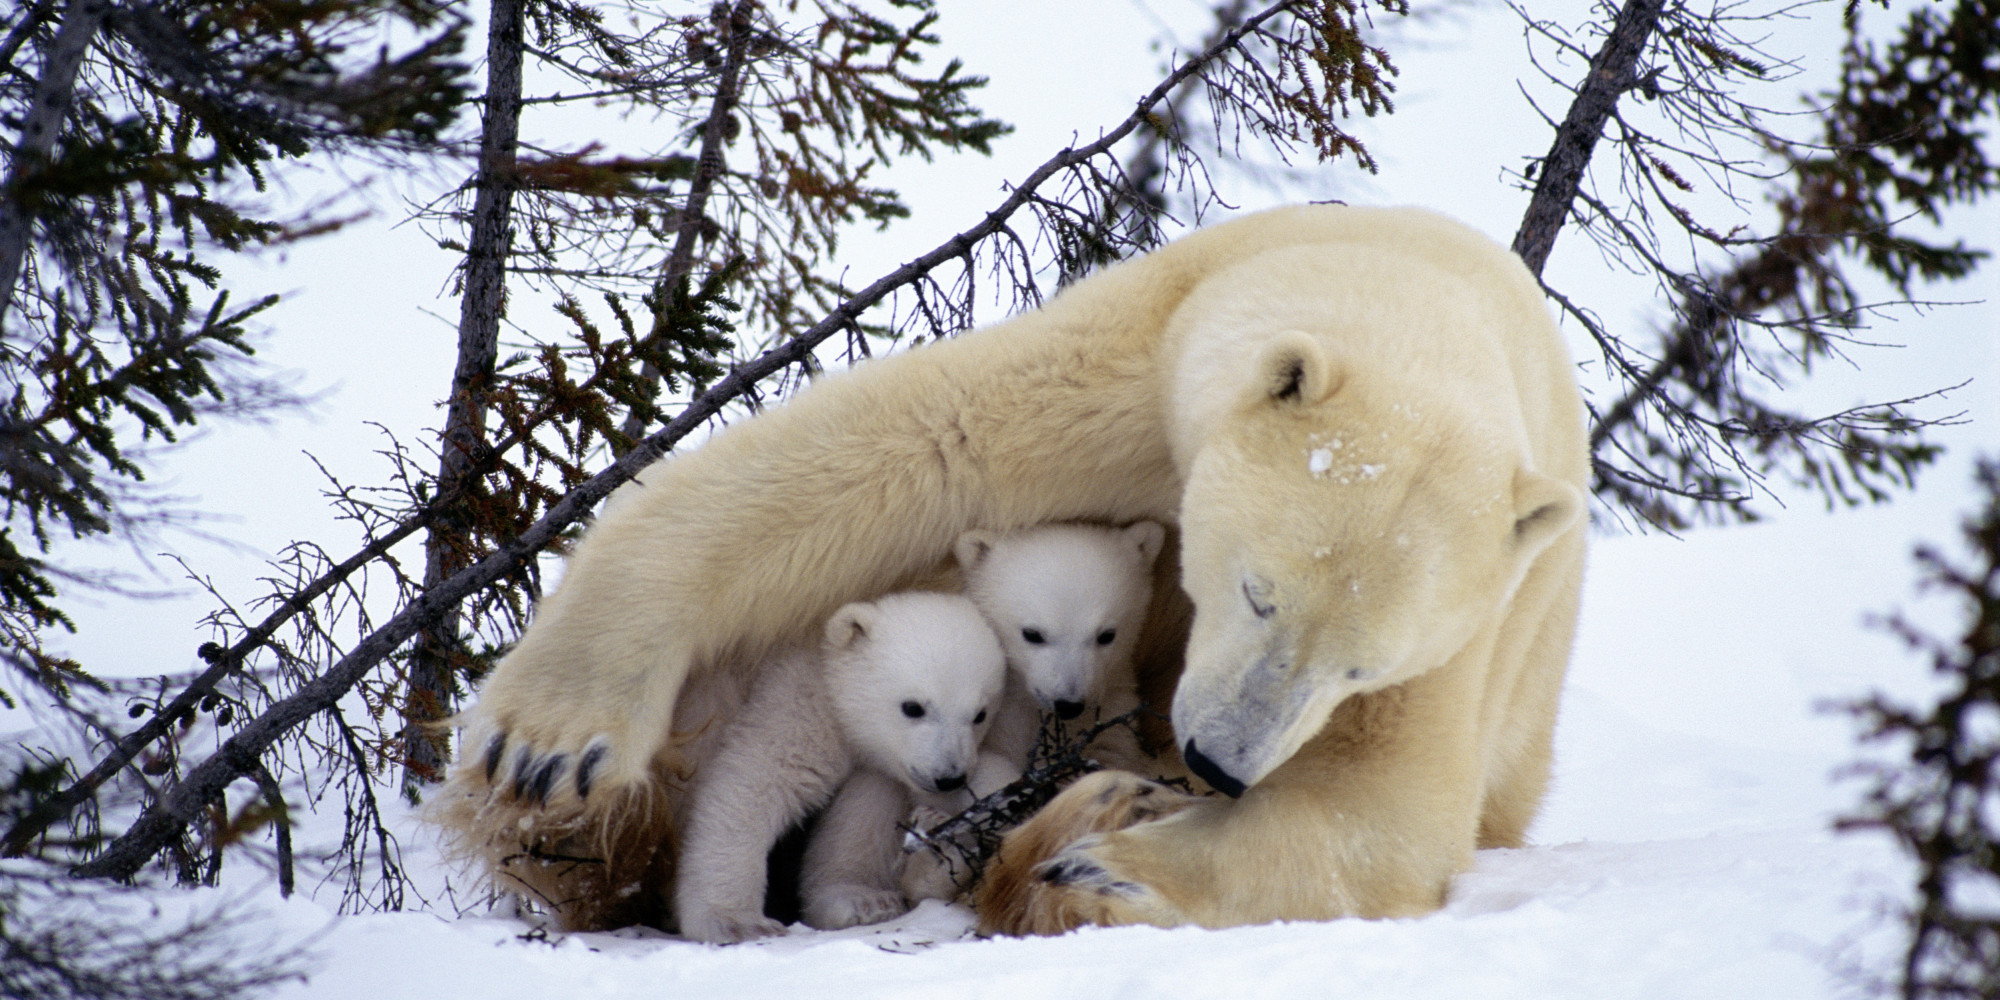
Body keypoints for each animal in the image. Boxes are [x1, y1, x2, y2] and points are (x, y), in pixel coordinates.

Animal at [430, 203, 1584, 928]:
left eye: (1361, 668)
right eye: (1258, 593)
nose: (1217, 764)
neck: (1413, 285)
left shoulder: (1479, 619)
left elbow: (1384, 808)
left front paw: (1109, 864)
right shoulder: (1144, 369)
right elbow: (909, 447)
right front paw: (548, 743)